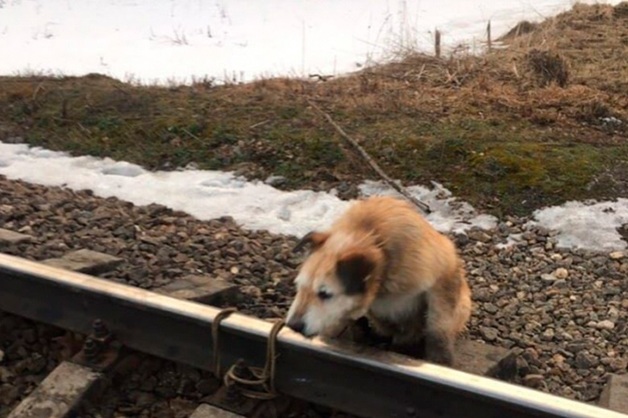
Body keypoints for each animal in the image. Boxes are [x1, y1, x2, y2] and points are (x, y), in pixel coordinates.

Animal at [284, 194, 472, 364]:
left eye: (325, 294)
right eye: (299, 287)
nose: (293, 325)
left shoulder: (443, 278)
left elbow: (438, 326)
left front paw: (440, 358)